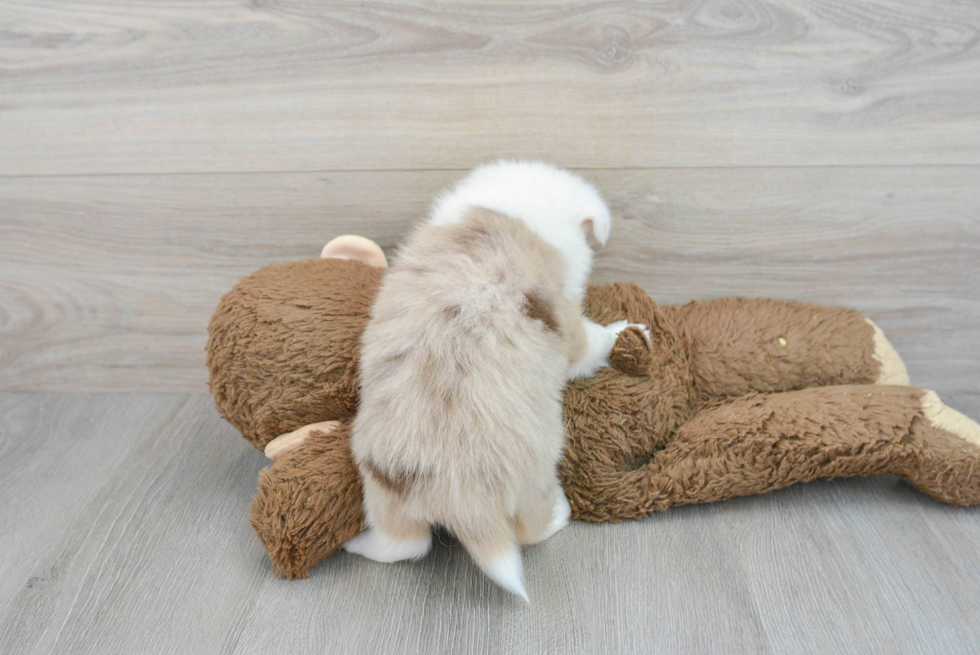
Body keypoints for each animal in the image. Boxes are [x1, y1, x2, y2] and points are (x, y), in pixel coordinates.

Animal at [344, 160, 644, 600]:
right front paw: (626, 330)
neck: (519, 205)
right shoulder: (570, 322)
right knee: (529, 531)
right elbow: (594, 342)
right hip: (533, 479)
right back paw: (560, 512)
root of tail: (460, 495)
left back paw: (359, 545)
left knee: (405, 545)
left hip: (382, 483)